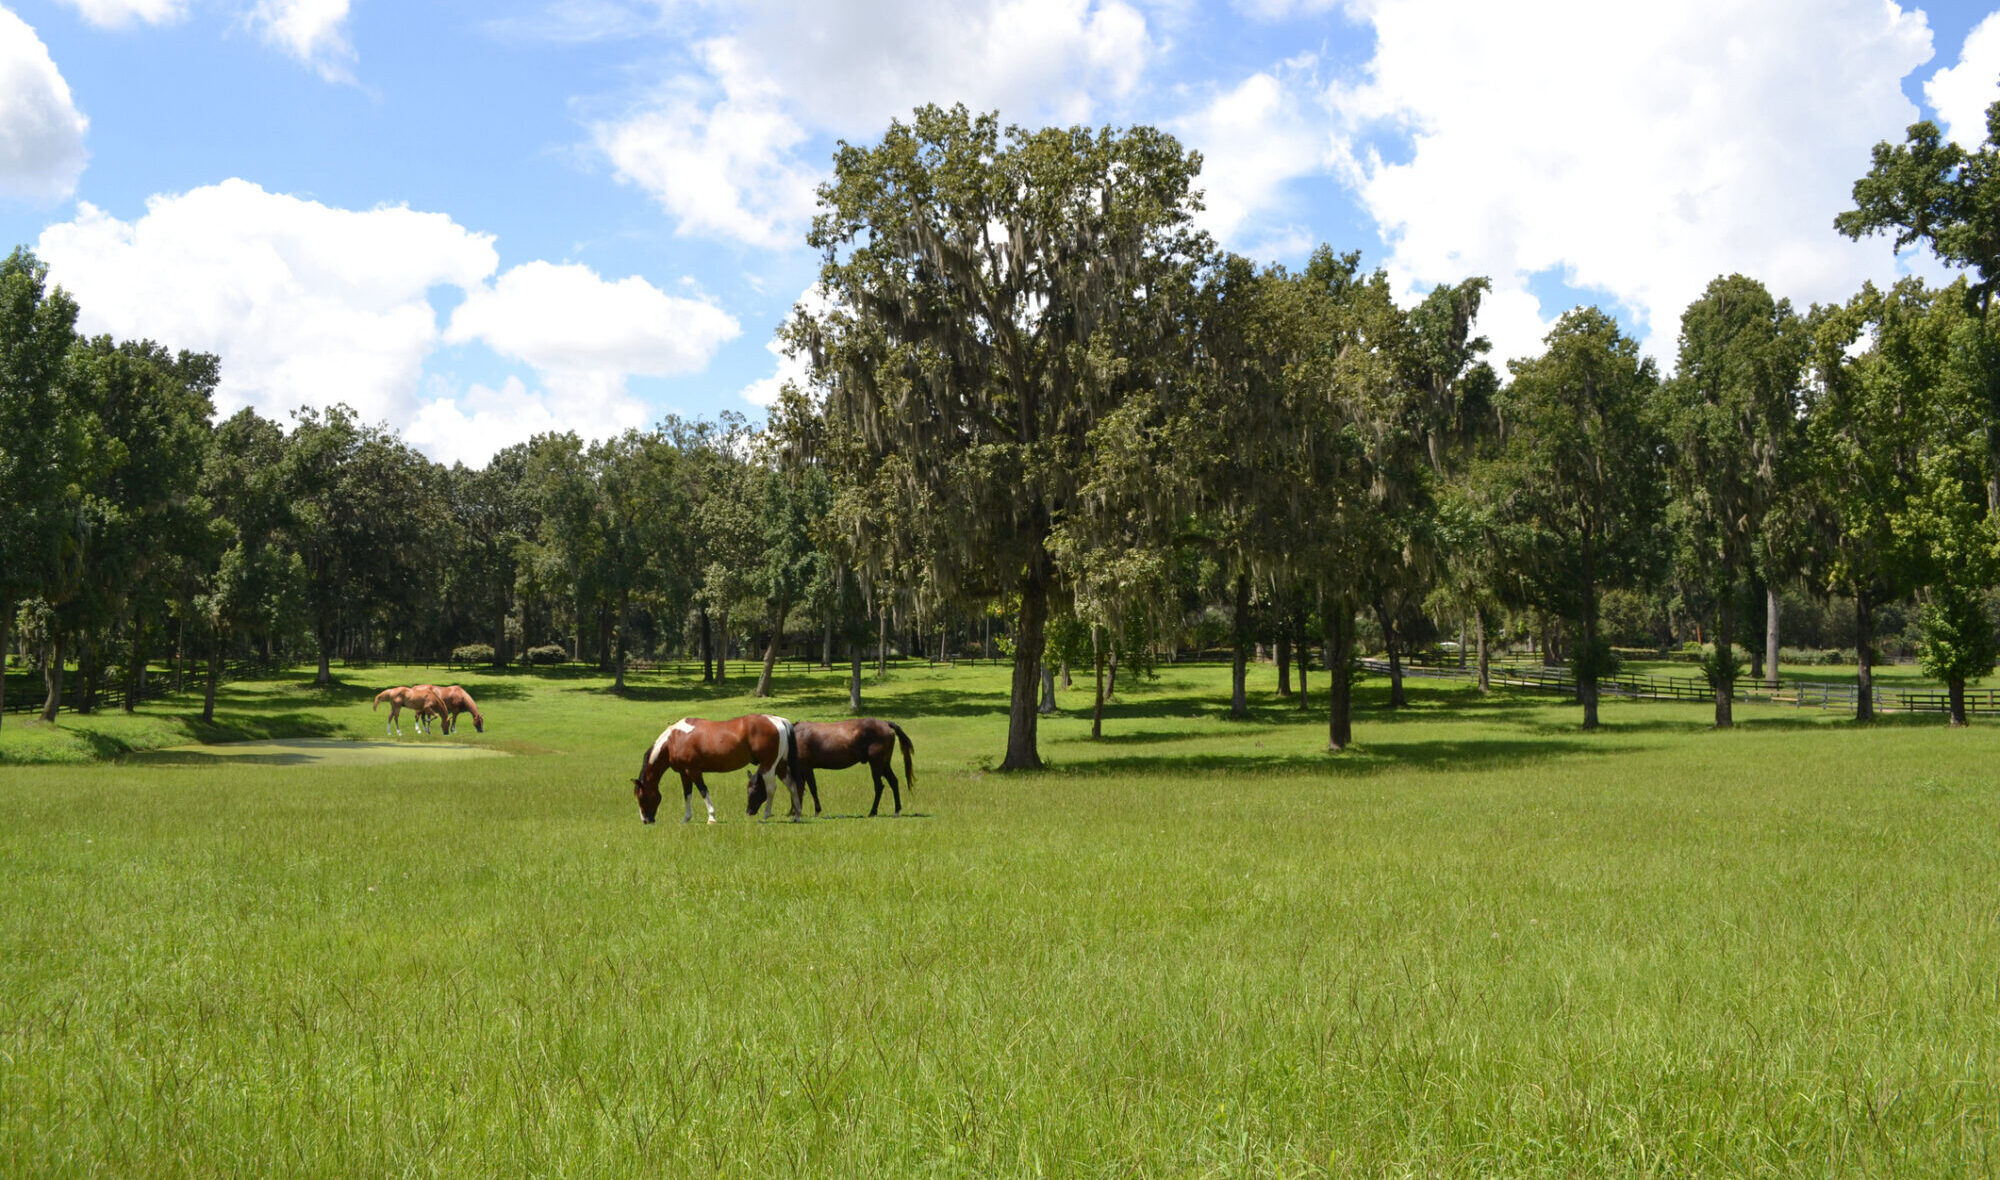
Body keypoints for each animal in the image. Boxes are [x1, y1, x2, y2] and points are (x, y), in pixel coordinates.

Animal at [636, 716, 800, 828]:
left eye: (641, 797)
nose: (646, 820)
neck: (674, 740)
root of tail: (778, 721)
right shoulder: (684, 773)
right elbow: (687, 794)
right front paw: (686, 818)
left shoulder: (694, 771)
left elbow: (703, 791)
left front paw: (711, 817)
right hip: (780, 766)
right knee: (792, 786)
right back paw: (797, 816)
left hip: (768, 766)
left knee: (771, 789)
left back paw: (766, 816)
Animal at [752, 720, 916, 824]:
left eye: (753, 789)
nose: (750, 811)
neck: (793, 739)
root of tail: (886, 724)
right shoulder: (802, 770)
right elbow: (799, 789)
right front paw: (794, 811)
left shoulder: (806, 768)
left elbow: (809, 788)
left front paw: (815, 811)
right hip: (884, 764)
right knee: (894, 782)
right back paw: (896, 810)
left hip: (876, 764)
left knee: (879, 786)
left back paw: (873, 812)